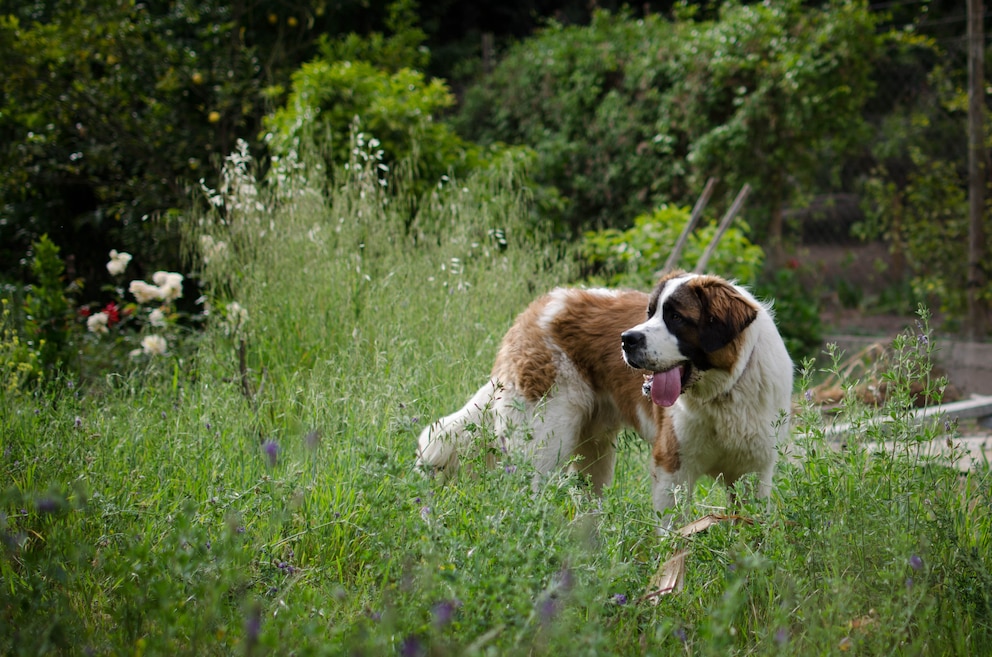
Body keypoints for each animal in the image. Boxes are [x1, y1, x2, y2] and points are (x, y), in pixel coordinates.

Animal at [414, 270, 796, 520]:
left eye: (676, 317)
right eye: (650, 313)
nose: (627, 339)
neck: (723, 393)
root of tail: (535, 309)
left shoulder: (754, 473)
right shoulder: (673, 466)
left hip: (592, 454)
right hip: (544, 442)